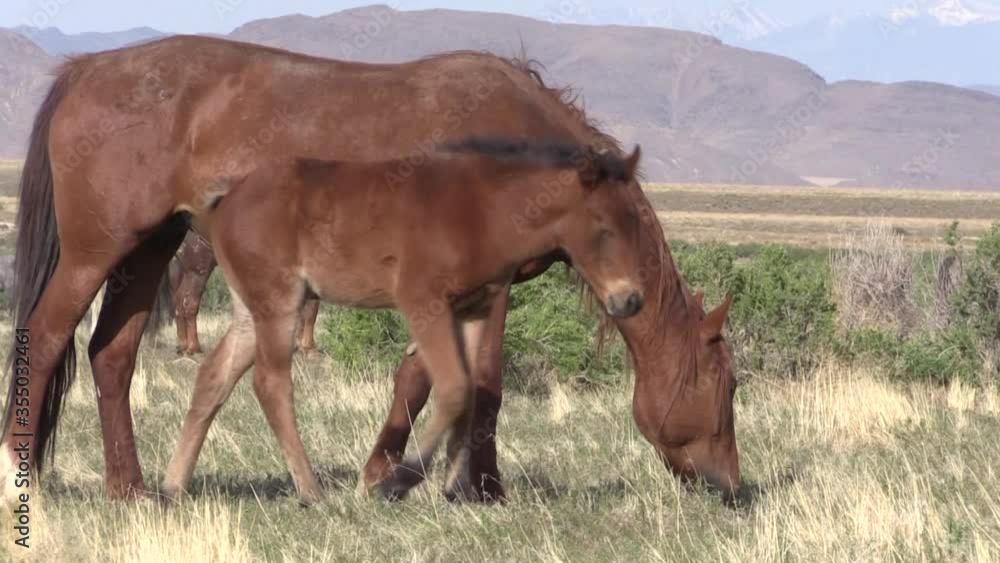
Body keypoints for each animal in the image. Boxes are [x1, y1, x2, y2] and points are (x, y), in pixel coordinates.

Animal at [166, 230, 318, 354]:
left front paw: (299, 345)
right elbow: (311, 312)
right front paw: (308, 347)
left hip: (181, 271)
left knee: (179, 302)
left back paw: (183, 345)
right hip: (198, 272)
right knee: (189, 303)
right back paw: (194, 347)